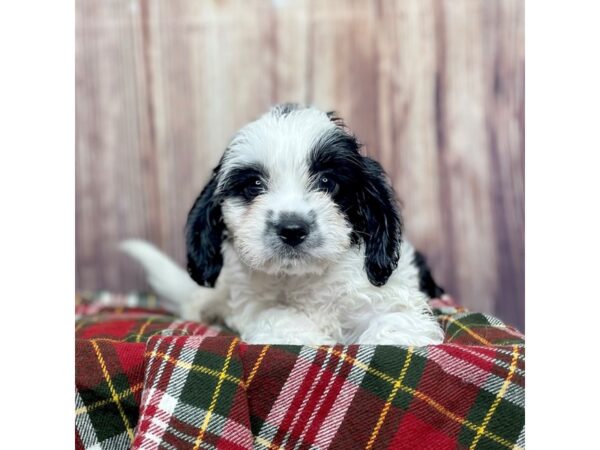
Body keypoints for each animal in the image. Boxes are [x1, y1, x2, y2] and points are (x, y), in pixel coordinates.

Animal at [123, 103, 446, 346]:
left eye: (327, 182)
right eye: (254, 185)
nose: (292, 229)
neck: (305, 278)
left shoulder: (388, 294)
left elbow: (395, 322)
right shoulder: (252, 304)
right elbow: (275, 315)